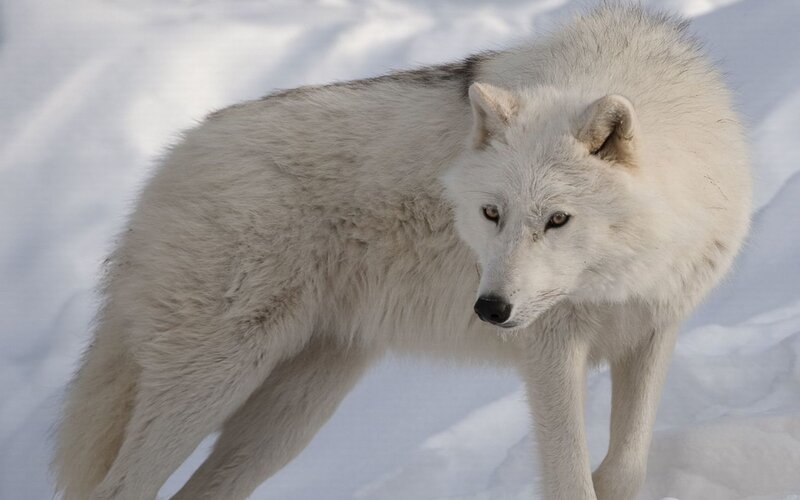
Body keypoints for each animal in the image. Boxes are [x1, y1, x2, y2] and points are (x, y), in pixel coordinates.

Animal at [53, 5, 751, 500]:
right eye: (492, 214)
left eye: (557, 220)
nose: (490, 310)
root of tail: (169, 162)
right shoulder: (551, 354)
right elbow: (570, 482)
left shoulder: (654, 329)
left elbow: (624, 471)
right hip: (216, 380)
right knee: (121, 488)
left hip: (293, 413)